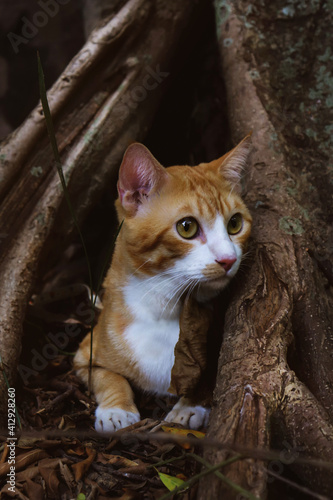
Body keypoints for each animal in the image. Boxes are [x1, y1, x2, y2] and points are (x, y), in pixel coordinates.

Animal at [74, 135, 252, 432]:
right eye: (187, 227)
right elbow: (109, 377)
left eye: (235, 224)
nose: (228, 259)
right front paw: (116, 410)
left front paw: (190, 406)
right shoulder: (85, 353)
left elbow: (208, 378)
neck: (164, 306)